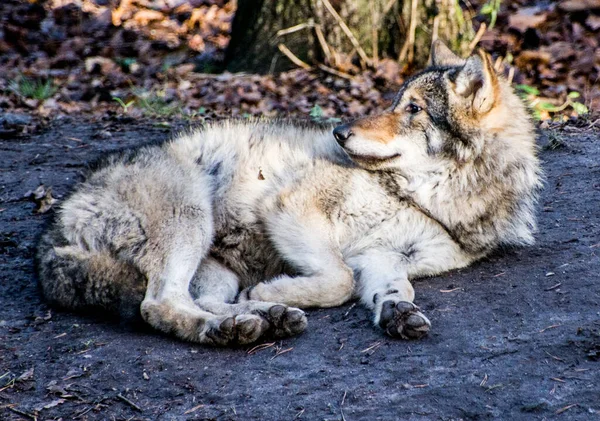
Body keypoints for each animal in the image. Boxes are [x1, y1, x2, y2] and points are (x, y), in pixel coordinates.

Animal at [37, 41, 544, 344]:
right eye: (395, 102)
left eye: (414, 109)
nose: (340, 132)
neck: (428, 200)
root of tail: (52, 234)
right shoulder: (292, 207)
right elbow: (340, 280)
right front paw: (286, 289)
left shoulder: (384, 256)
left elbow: (395, 287)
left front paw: (397, 311)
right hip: (190, 215)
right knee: (157, 304)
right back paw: (236, 323)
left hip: (215, 268)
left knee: (203, 299)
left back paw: (263, 316)